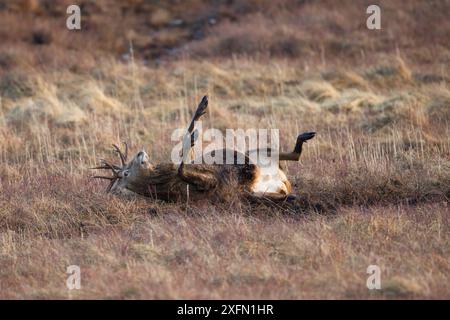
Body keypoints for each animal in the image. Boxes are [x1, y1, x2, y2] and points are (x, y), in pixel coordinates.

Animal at [92, 96, 314, 204]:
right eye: (124, 173)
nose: (140, 153)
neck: (160, 178)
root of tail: (284, 182)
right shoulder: (209, 183)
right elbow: (182, 164)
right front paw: (195, 129)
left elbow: (185, 156)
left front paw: (200, 108)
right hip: (250, 175)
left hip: (256, 153)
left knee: (282, 155)